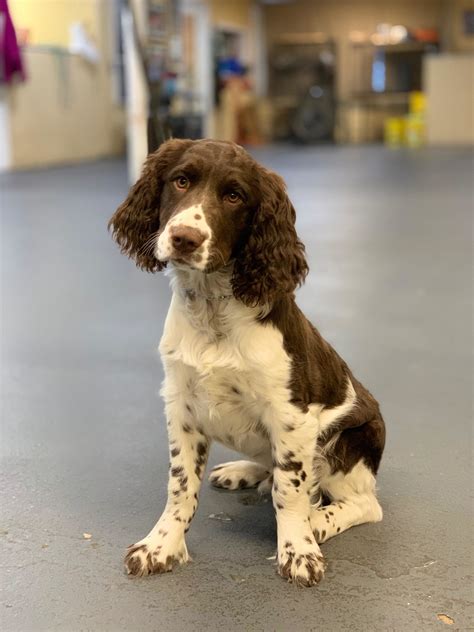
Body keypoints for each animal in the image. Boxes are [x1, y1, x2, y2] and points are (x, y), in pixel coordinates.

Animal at [108, 138, 386, 588]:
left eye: (234, 196)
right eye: (181, 180)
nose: (184, 238)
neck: (212, 311)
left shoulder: (292, 416)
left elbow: (289, 491)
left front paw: (299, 550)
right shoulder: (181, 406)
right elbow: (180, 485)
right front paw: (161, 546)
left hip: (353, 441)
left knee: (363, 503)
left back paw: (318, 520)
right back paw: (245, 471)